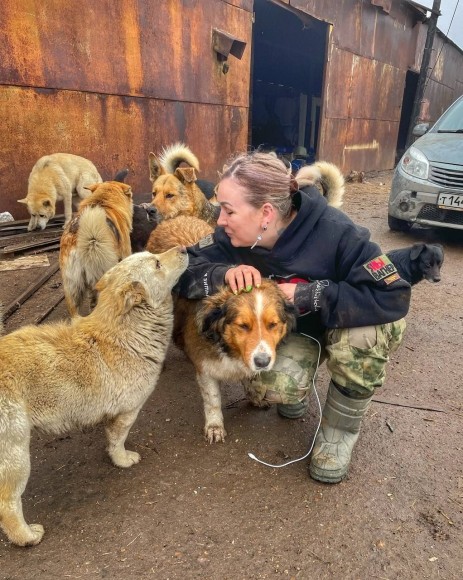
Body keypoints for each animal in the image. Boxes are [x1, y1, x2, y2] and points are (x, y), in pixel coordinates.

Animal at [0, 247, 188, 548]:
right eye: (157, 263)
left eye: (154, 255)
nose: (183, 248)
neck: (126, 331)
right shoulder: (127, 411)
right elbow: (117, 441)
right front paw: (122, 460)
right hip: (15, 452)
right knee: (8, 504)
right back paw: (26, 536)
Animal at [174, 280, 298, 440]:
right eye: (243, 326)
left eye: (272, 324)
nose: (262, 362)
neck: (230, 349)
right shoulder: (205, 366)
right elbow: (212, 399)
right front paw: (215, 426)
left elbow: (248, 379)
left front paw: (254, 396)